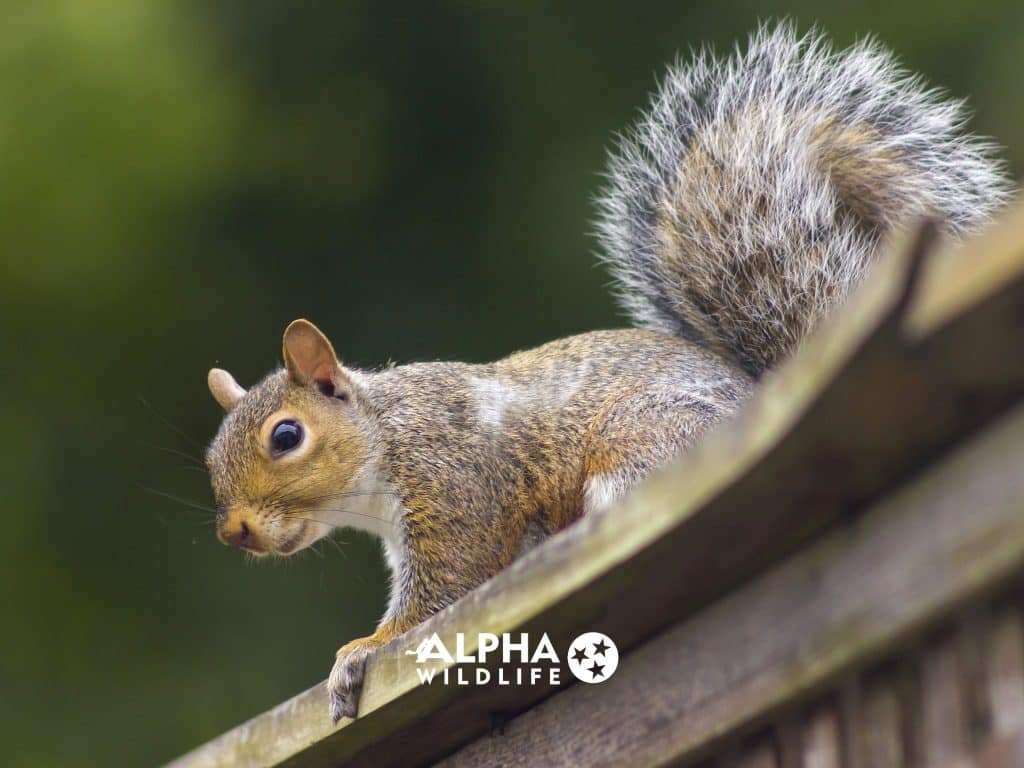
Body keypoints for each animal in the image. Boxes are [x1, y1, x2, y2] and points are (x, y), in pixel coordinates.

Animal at [199, 22, 1007, 720]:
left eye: (286, 437)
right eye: (210, 459)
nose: (234, 532)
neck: (385, 440)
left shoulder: (457, 487)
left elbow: (443, 591)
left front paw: (360, 651)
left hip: (640, 446)